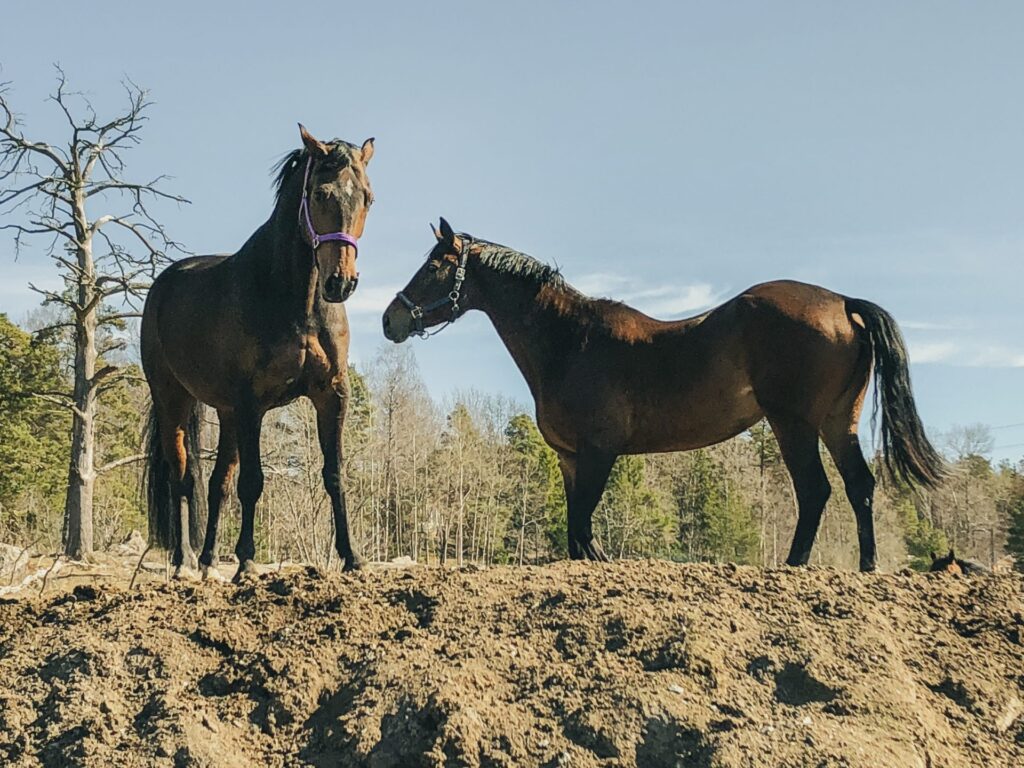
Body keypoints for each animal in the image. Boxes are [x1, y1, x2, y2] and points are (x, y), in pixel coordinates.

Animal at [139, 126, 372, 581]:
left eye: (368, 197)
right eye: (321, 194)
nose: (341, 282)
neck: (297, 302)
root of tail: (163, 284)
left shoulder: (331, 395)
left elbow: (334, 474)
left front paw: (352, 558)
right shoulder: (253, 403)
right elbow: (253, 482)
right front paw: (246, 561)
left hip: (226, 413)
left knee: (217, 483)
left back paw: (209, 559)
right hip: (173, 399)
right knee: (181, 478)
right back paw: (183, 560)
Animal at [382, 217, 942, 573]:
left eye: (435, 266)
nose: (391, 319)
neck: (570, 341)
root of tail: (843, 303)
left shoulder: (598, 452)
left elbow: (583, 526)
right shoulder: (570, 458)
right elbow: (575, 531)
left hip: (794, 424)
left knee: (816, 490)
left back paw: (794, 565)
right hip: (836, 421)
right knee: (859, 486)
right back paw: (867, 567)